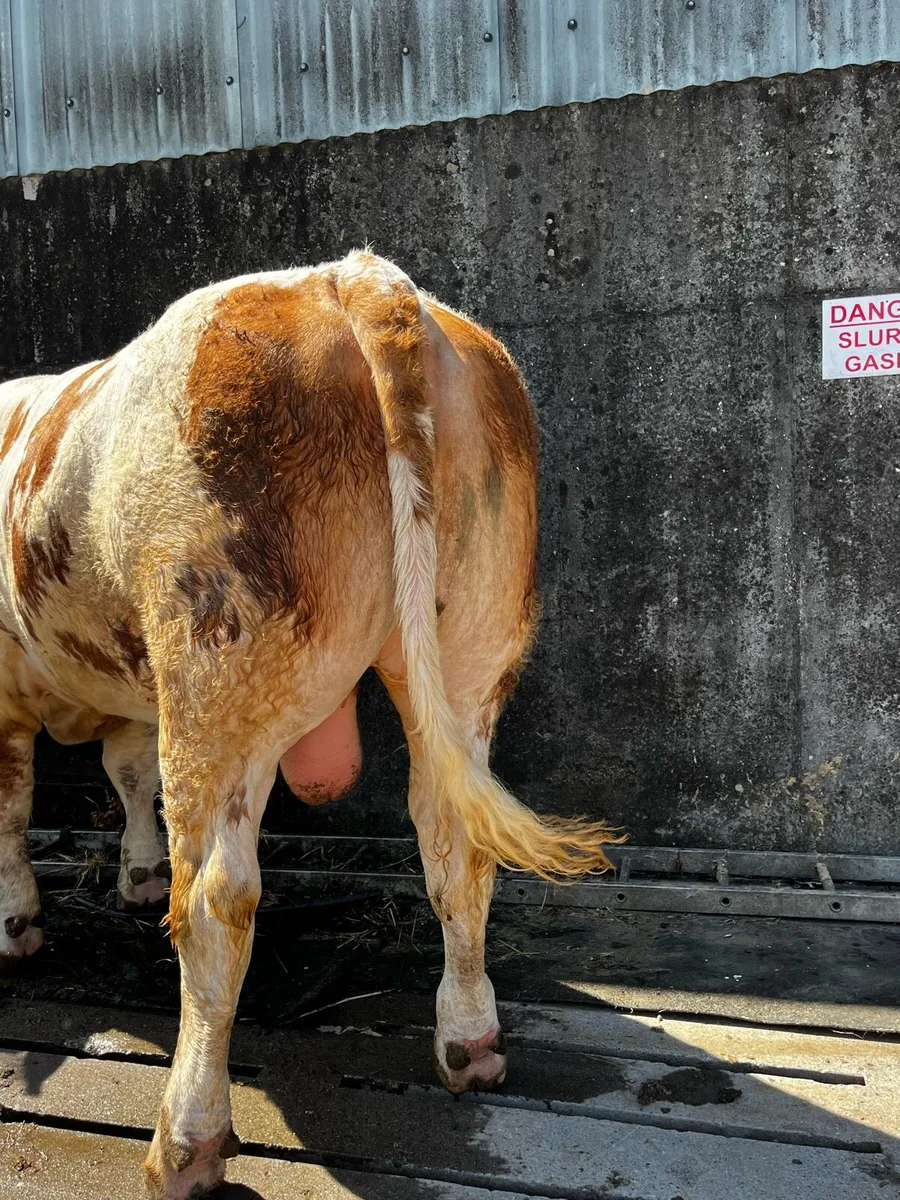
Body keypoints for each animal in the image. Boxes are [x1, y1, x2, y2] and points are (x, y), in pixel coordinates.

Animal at [0, 252, 618, 1198]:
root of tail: (350, 275)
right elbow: (127, 773)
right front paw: (134, 873)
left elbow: (13, 805)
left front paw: (19, 922)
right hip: (472, 644)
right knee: (456, 847)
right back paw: (469, 1042)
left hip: (216, 661)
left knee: (217, 902)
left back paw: (187, 1141)